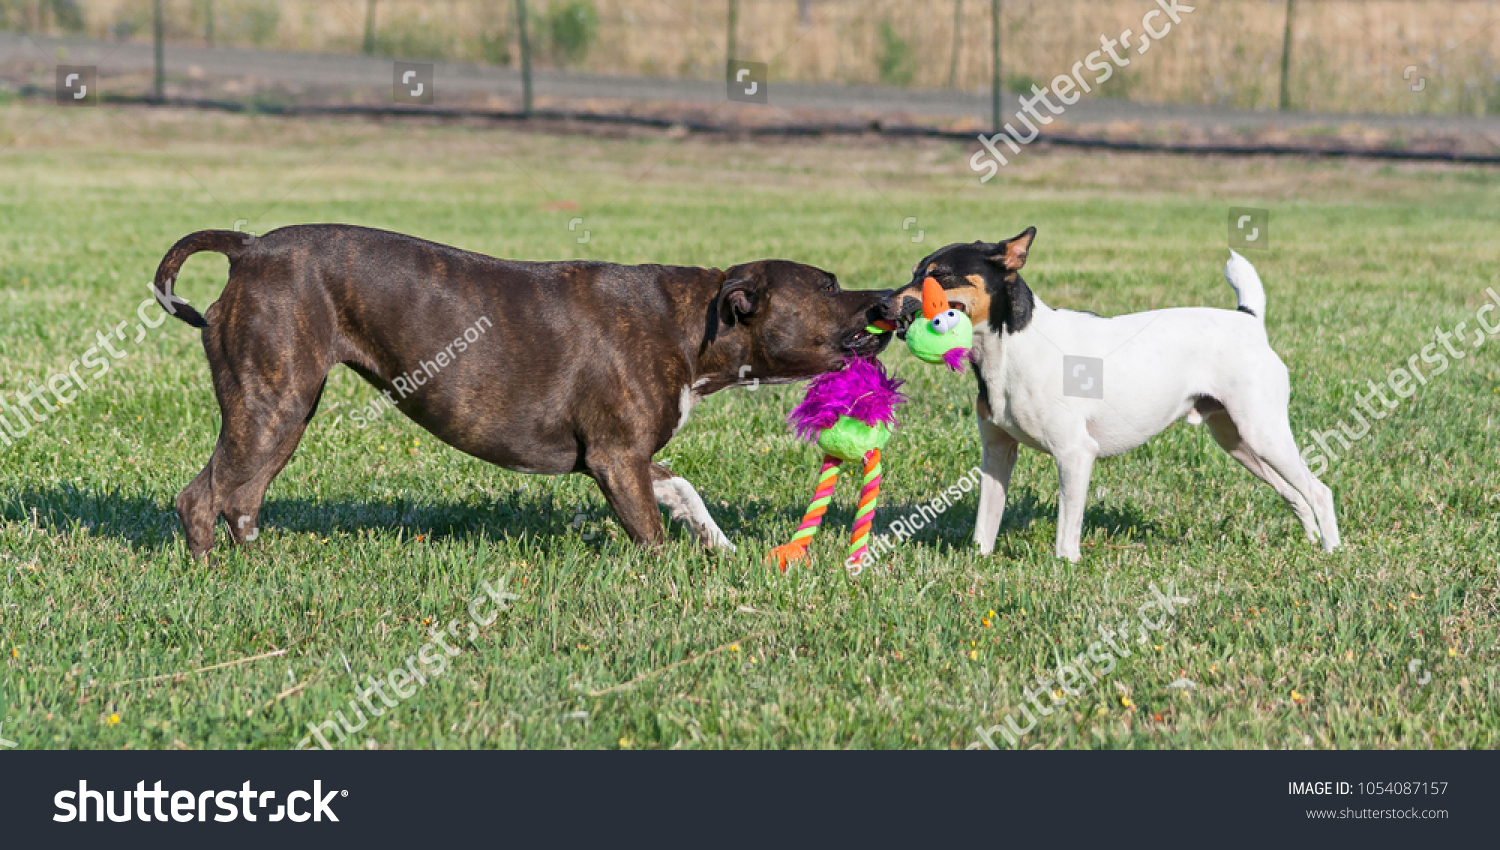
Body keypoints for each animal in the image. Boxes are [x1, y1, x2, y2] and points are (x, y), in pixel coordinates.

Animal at [150, 223, 888, 560]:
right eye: (827, 284)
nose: (887, 296)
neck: (693, 323)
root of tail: (249, 248)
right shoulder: (617, 458)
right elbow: (649, 532)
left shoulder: (635, 459)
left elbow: (683, 489)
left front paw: (722, 548)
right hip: (269, 403)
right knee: (203, 496)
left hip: (285, 411)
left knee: (241, 495)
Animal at [894, 229, 1344, 560]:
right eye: (915, 272)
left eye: (940, 275)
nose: (887, 300)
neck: (1012, 346)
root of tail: (1249, 322)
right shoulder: (997, 454)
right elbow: (985, 523)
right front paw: (979, 560)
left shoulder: (1075, 454)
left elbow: (1067, 529)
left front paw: (1066, 566)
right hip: (1238, 441)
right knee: (1295, 493)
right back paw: (1310, 542)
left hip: (1263, 433)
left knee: (1319, 491)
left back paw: (1332, 552)